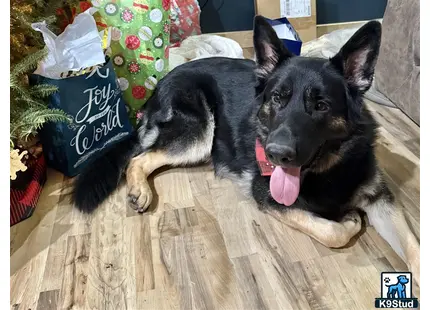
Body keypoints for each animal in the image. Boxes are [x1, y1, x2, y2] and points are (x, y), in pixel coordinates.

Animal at [71, 16, 420, 284]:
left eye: (321, 106)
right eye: (277, 98)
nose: (276, 153)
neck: (329, 168)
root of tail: (158, 86)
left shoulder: (381, 199)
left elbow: (415, 248)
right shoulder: (268, 196)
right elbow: (333, 233)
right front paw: (348, 222)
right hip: (199, 136)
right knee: (140, 158)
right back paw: (139, 190)